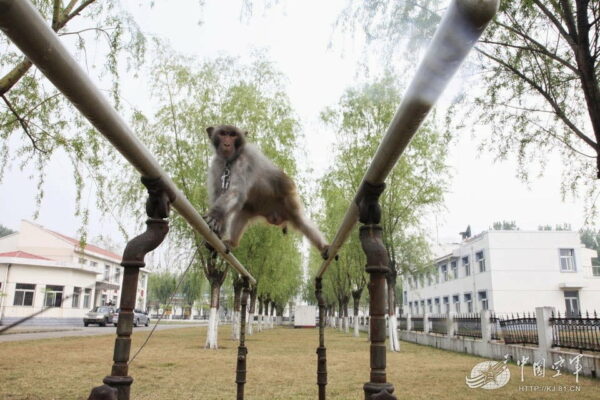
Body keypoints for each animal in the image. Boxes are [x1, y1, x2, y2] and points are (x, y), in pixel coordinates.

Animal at [205, 123, 328, 258]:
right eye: (223, 134)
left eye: (233, 135)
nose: (227, 144)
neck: (231, 160)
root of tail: (276, 216)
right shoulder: (217, 163)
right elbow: (219, 194)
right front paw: (218, 231)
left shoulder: (246, 159)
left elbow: (236, 191)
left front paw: (215, 215)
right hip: (257, 208)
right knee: (243, 213)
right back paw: (232, 242)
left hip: (289, 200)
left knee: (301, 222)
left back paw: (323, 246)